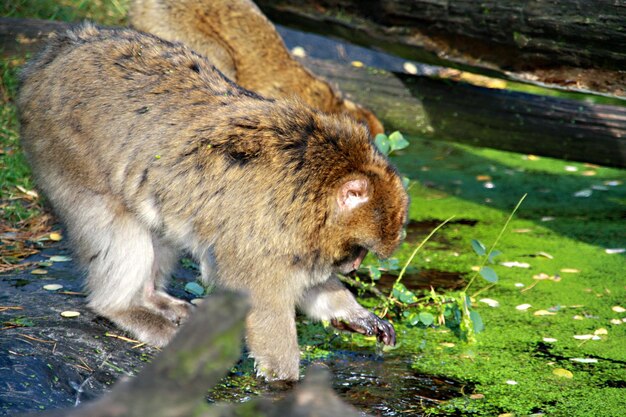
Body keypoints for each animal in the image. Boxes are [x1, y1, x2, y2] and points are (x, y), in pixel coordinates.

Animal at [17, 24, 408, 378]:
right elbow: (261, 296)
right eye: (359, 249)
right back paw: (124, 308)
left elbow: (307, 284)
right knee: (116, 223)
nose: (353, 268)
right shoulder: (264, 230)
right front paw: (286, 385)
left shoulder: (296, 237)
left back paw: (153, 298)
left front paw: (355, 314)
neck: (314, 184)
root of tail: (65, 46)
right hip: (63, 146)